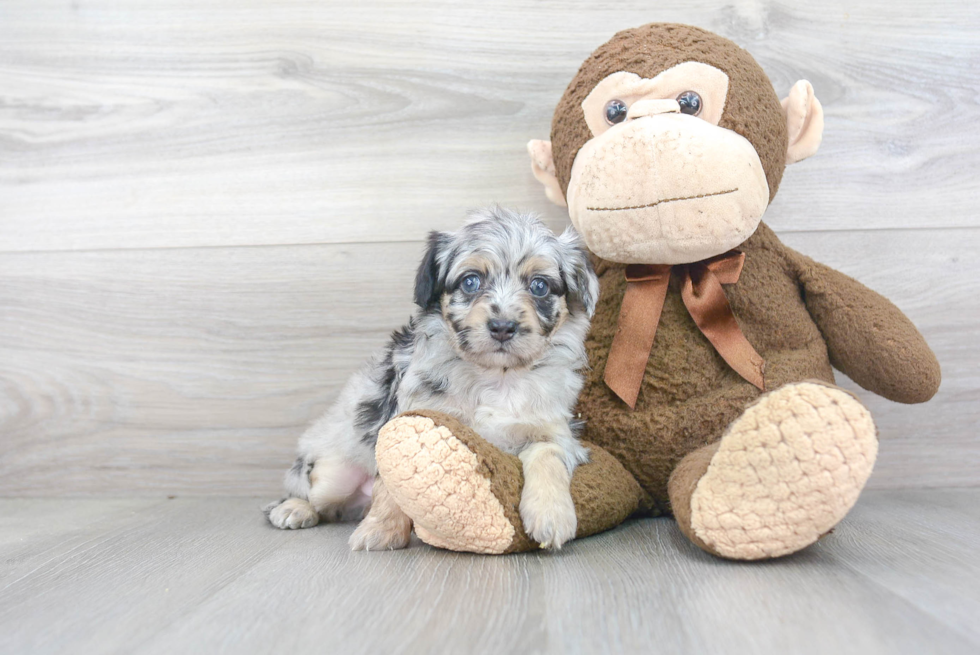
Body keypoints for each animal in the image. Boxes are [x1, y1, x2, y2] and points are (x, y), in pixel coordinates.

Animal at [264, 208, 596, 552]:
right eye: (471, 281)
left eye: (539, 286)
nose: (503, 327)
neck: (495, 376)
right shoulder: (408, 419)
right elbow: (391, 482)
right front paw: (381, 530)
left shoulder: (556, 433)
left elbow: (548, 457)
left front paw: (551, 515)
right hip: (333, 474)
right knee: (310, 495)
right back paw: (293, 509)